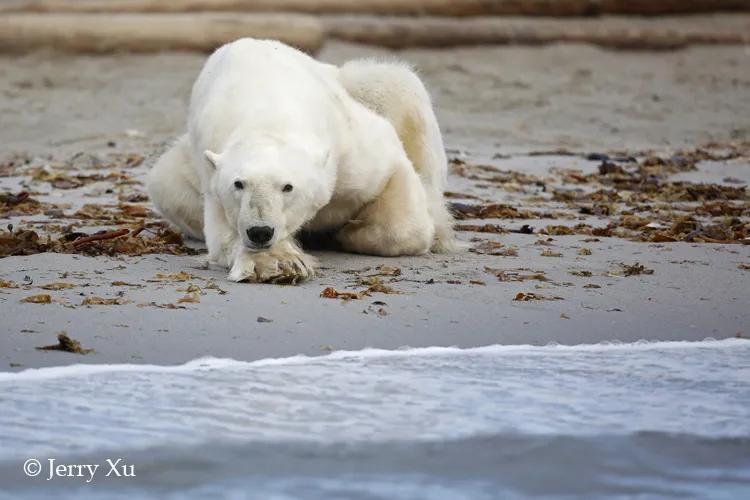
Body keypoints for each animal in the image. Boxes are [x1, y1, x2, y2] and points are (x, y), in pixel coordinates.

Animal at [148, 38, 458, 282]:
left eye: (288, 187)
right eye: (238, 184)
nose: (260, 231)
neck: (269, 114)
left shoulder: (354, 151)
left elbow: (401, 209)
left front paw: (346, 232)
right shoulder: (212, 173)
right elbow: (223, 234)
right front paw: (279, 262)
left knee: (398, 85)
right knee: (165, 182)